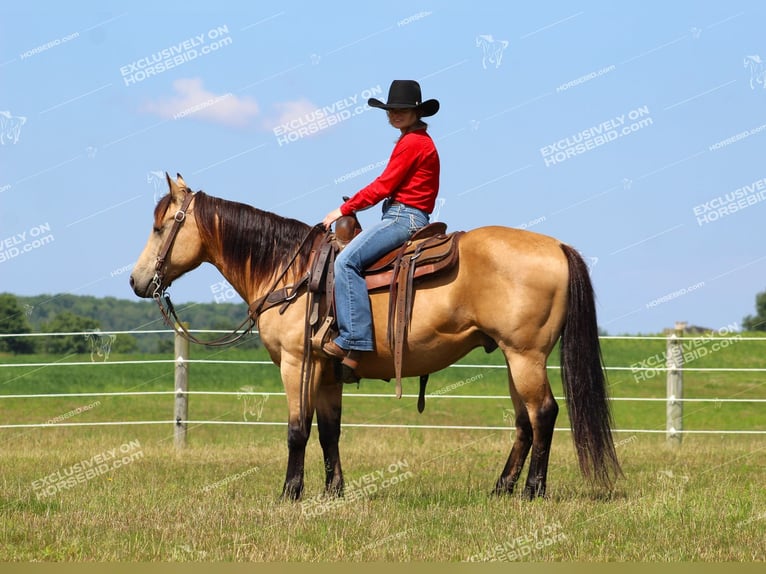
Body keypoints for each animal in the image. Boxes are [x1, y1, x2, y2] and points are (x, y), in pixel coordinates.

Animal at [130, 173, 624, 502]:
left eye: (159, 226)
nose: (137, 281)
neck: (290, 271)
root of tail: (557, 246)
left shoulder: (297, 364)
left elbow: (297, 430)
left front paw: (290, 492)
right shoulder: (326, 371)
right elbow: (329, 431)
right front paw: (333, 491)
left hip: (525, 355)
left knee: (544, 413)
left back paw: (533, 490)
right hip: (513, 356)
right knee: (524, 421)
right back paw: (502, 487)